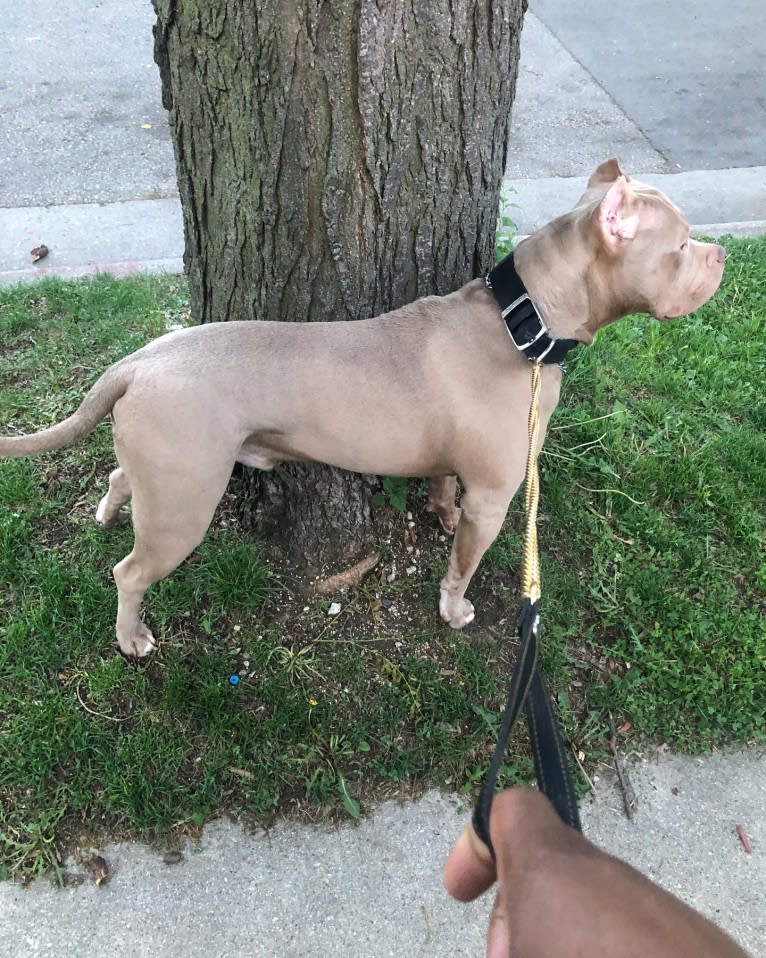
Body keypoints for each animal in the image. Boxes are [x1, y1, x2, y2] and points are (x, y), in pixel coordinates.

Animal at [0, 163, 728, 660]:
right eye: (682, 244)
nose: (720, 252)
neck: (522, 323)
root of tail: (139, 361)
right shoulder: (498, 496)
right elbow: (463, 565)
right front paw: (455, 611)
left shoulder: (457, 467)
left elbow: (443, 488)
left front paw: (440, 513)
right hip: (186, 501)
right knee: (130, 572)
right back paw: (132, 636)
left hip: (164, 471)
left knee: (121, 476)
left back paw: (106, 510)